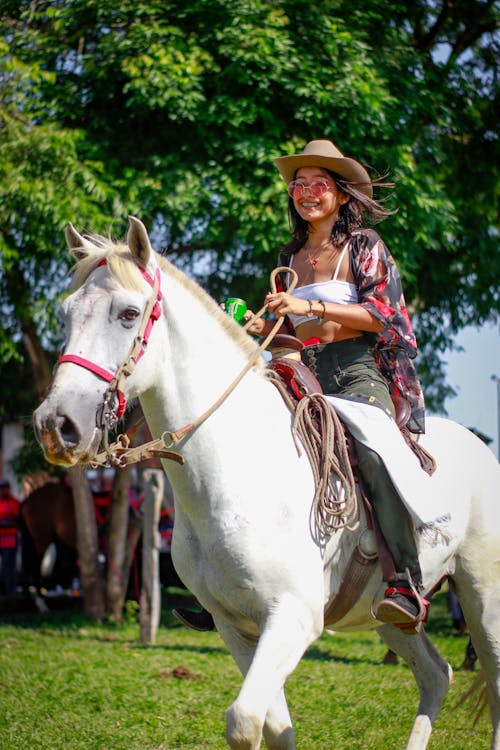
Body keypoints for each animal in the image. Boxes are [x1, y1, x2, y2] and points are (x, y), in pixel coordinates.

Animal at [35, 217, 500, 750]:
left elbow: (244, 720)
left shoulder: (292, 618)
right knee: (436, 675)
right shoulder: (235, 627)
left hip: (483, 600)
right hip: (389, 620)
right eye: (66, 313)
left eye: (129, 313)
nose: (56, 425)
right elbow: (273, 726)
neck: (234, 474)